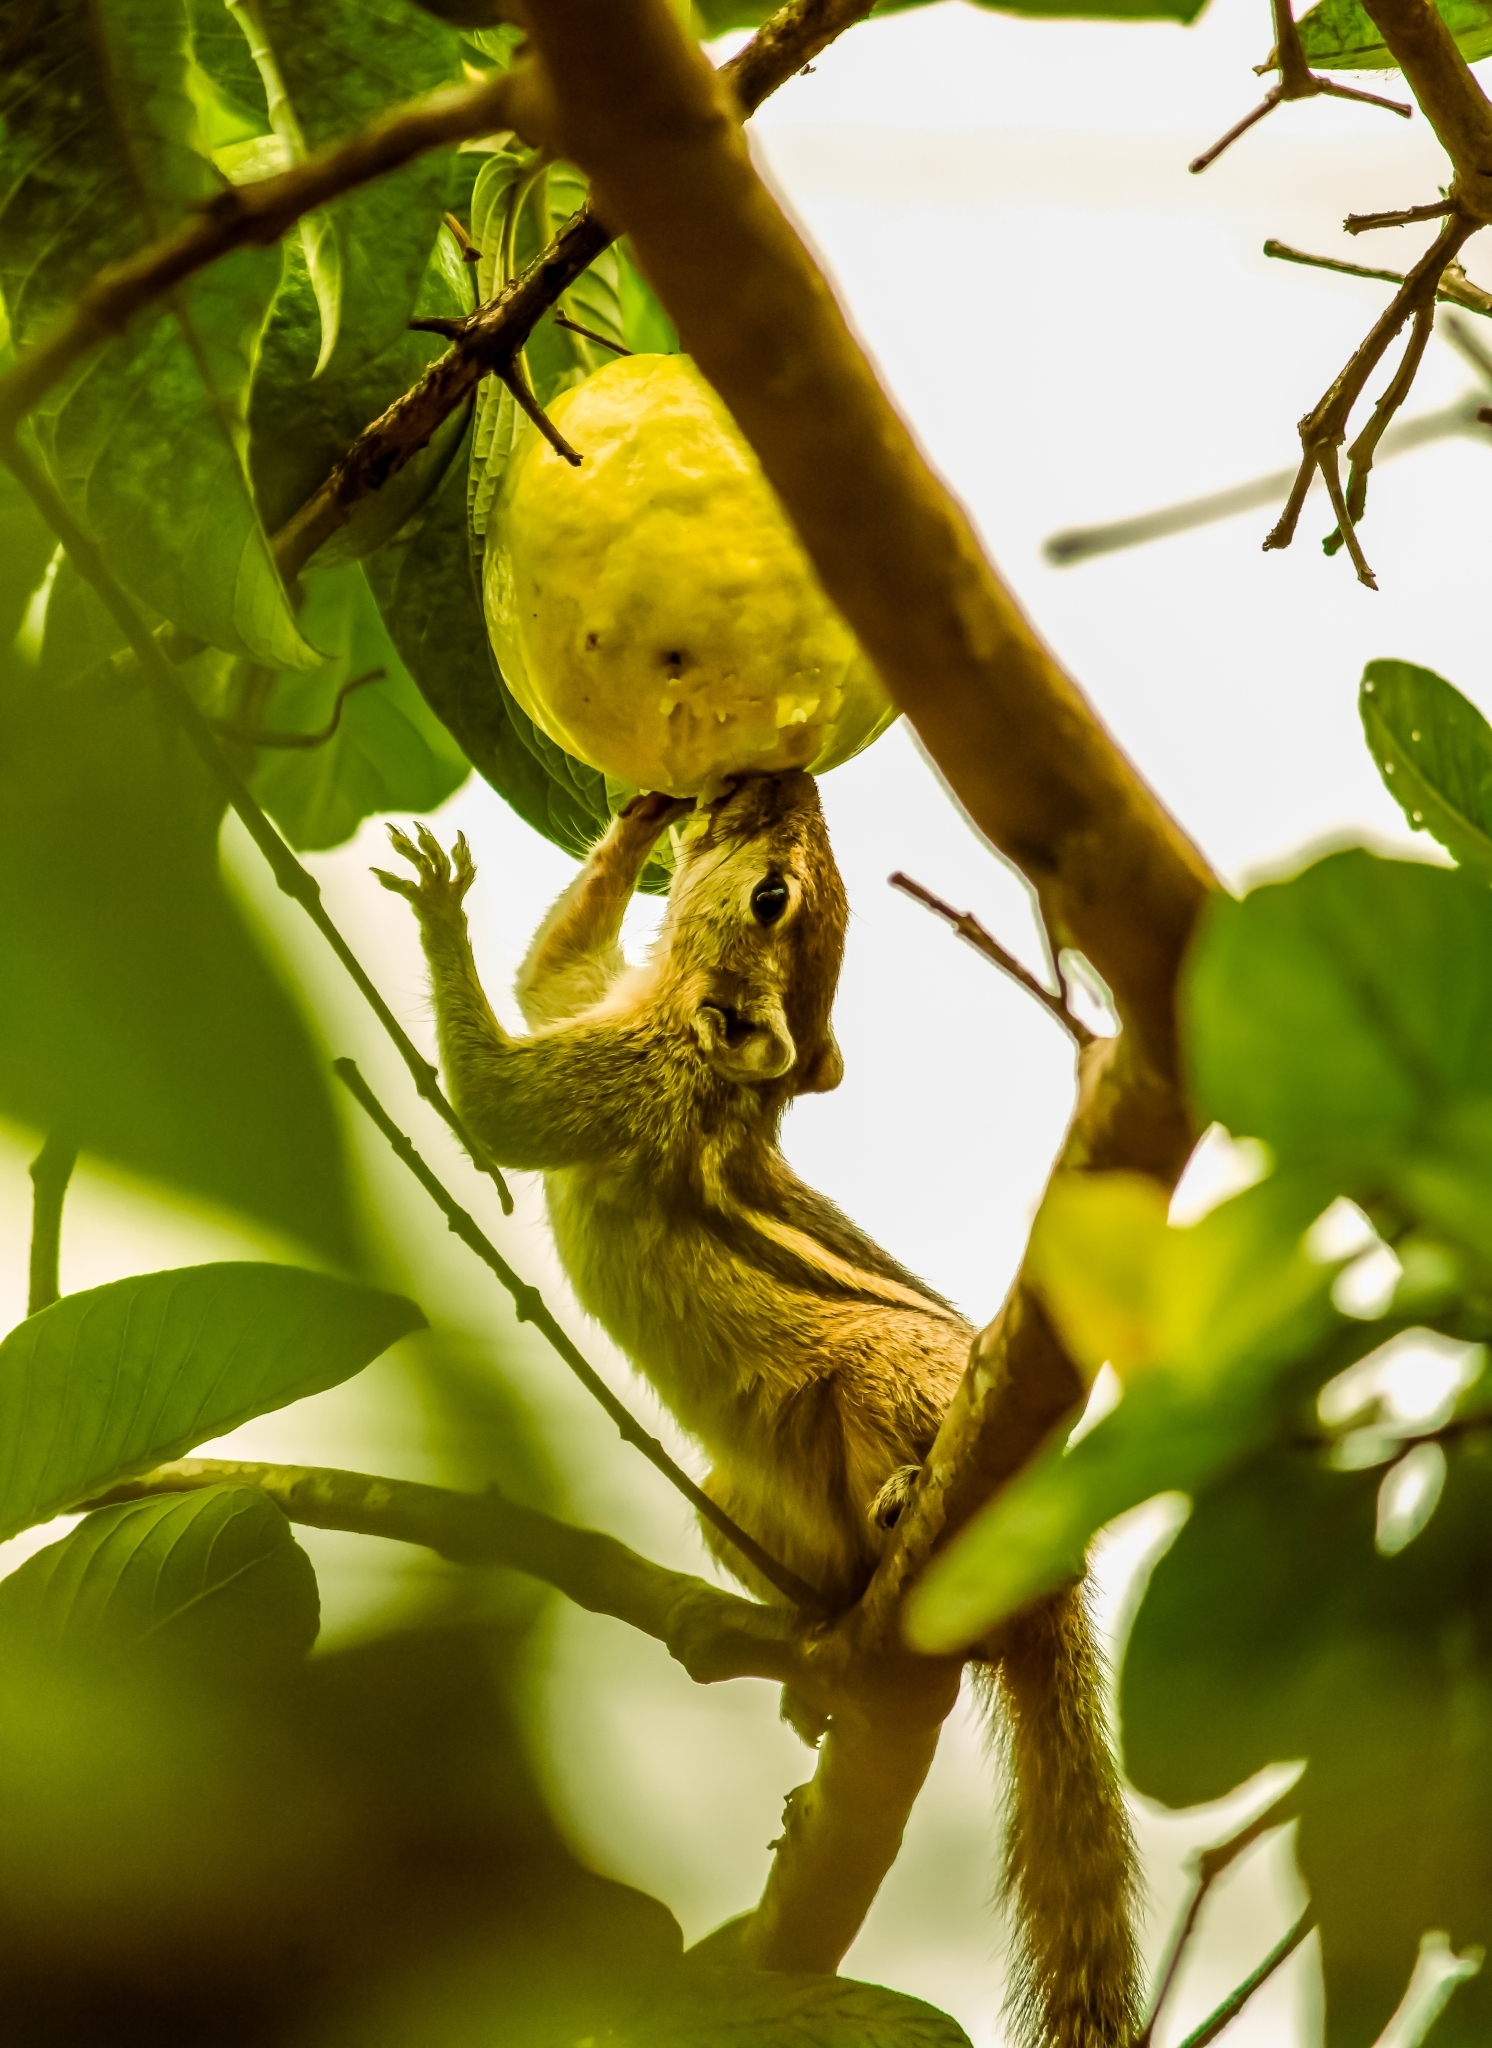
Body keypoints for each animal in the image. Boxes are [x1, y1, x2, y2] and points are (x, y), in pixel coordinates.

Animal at [379, 770, 1140, 2048]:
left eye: (774, 897)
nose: (776, 779)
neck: (696, 1039)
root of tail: (1056, 1571)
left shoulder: (616, 1076)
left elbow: (497, 1103)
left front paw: (441, 907)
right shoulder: (602, 1002)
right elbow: (550, 973)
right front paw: (633, 823)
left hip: (880, 1378)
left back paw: (903, 1505)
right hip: (730, 1494)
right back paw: (810, 1664)